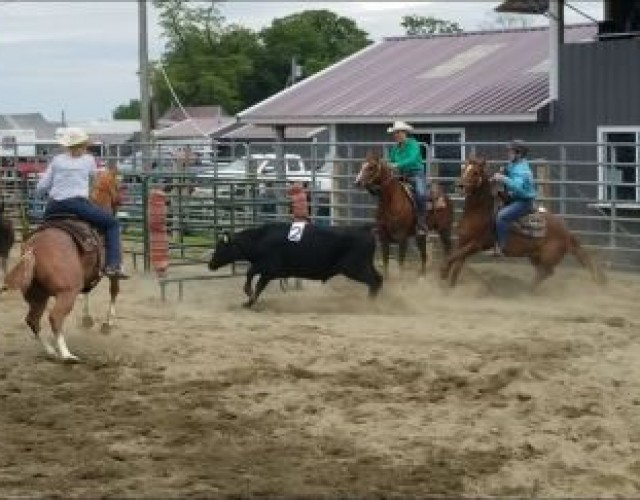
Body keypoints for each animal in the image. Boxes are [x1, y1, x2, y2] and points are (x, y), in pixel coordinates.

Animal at [356, 150, 456, 280]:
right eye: (362, 165)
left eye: (371, 167)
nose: (357, 182)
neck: (391, 201)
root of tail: (445, 197)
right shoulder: (383, 237)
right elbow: (385, 262)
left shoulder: (403, 238)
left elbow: (400, 263)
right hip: (421, 236)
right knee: (424, 254)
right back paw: (422, 276)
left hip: (444, 230)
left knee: (448, 250)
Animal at [440, 156, 604, 290]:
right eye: (464, 169)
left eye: (475, 172)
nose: (460, 185)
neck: (479, 212)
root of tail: (567, 232)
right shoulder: (463, 242)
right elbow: (457, 262)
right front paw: (449, 286)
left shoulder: (478, 244)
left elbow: (452, 258)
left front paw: (443, 273)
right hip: (534, 256)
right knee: (543, 272)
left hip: (547, 257)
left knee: (546, 272)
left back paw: (525, 291)